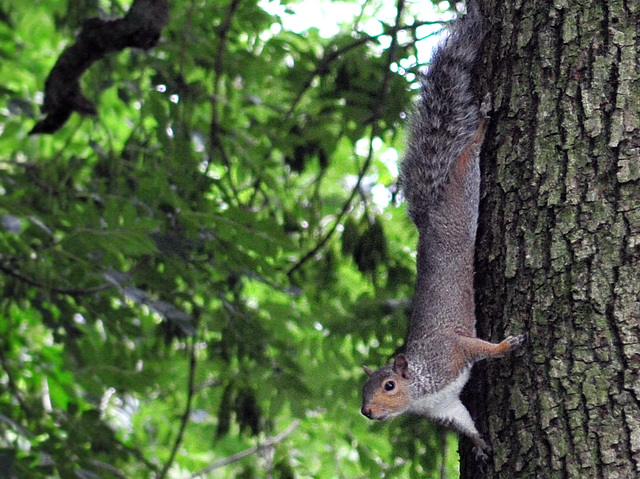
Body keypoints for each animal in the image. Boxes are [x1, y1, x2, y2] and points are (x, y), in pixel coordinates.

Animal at [362, 1, 524, 464]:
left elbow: (480, 348)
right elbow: (465, 425)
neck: (420, 390)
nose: (366, 412)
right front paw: (483, 448)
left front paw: (506, 346)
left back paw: (482, 126)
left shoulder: (451, 352)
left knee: (467, 154)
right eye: (362, 390)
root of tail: (430, 219)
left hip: (462, 196)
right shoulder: (446, 406)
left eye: (389, 385)